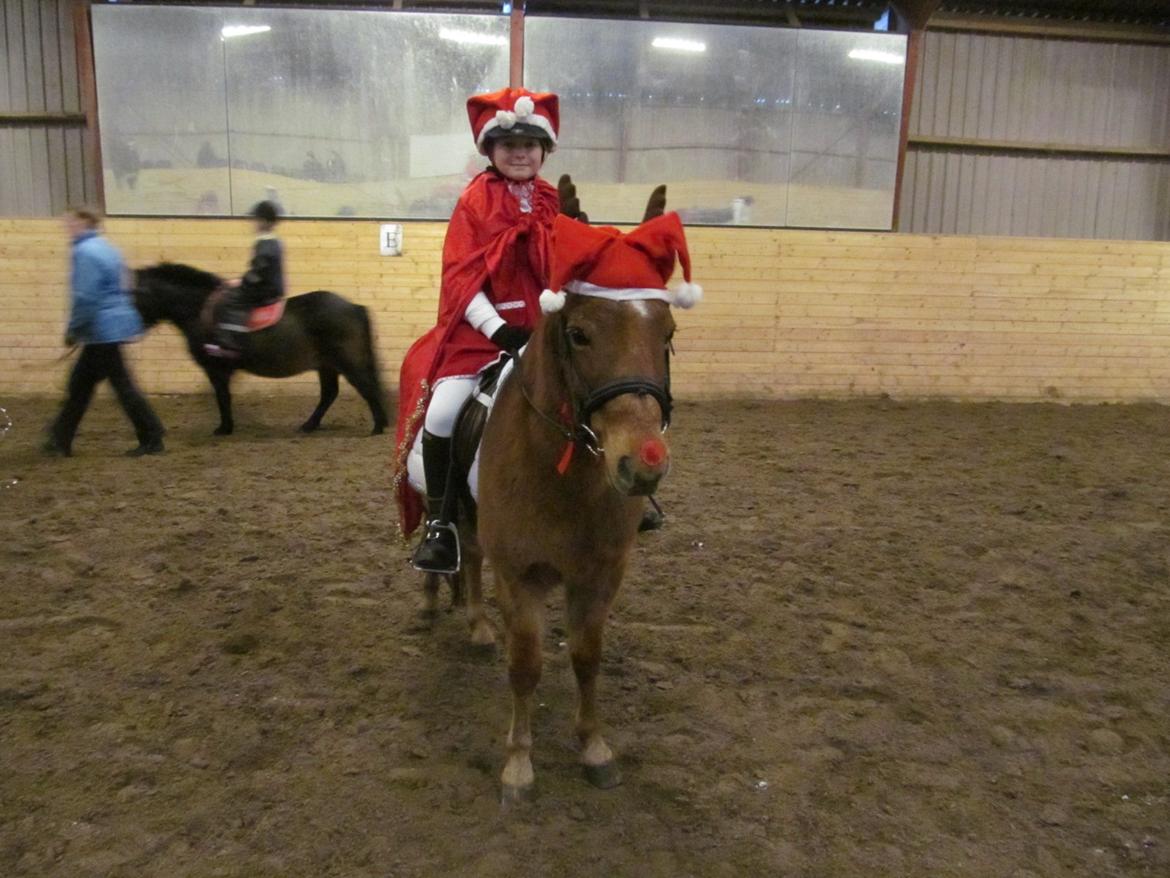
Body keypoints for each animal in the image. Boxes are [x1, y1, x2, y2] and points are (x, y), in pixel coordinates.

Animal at [131, 264, 388, 437]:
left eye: (135, 297)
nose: (132, 330)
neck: (201, 310)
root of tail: (353, 306)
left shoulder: (216, 368)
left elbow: (222, 396)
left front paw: (224, 428)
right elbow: (224, 396)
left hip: (347, 361)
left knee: (367, 388)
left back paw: (378, 427)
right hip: (326, 365)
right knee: (330, 394)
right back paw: (309, 425)